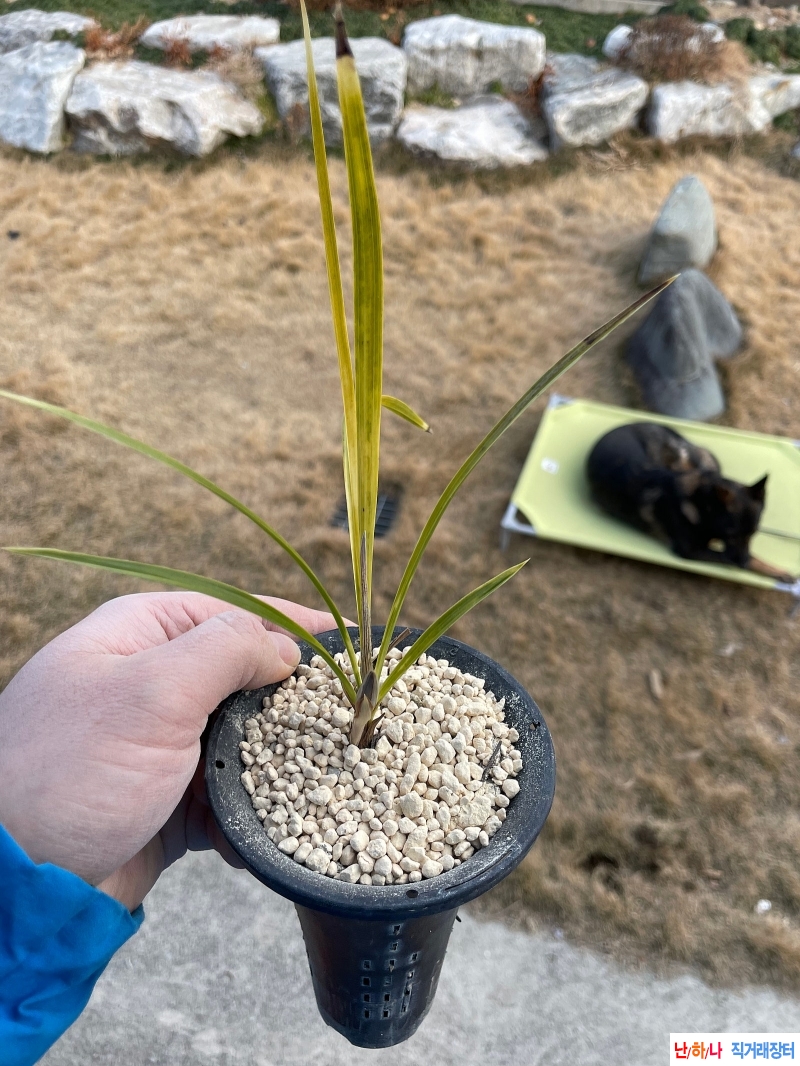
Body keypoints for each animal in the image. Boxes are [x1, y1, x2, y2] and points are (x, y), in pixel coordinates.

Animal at [586, 422, 793, 582]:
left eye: (754, 534)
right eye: (732, 535)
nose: (742, 564)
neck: (701, 504)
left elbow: (750, 555)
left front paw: (778, 570)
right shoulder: (690, 550)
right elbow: (729, 556)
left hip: (682, 458)